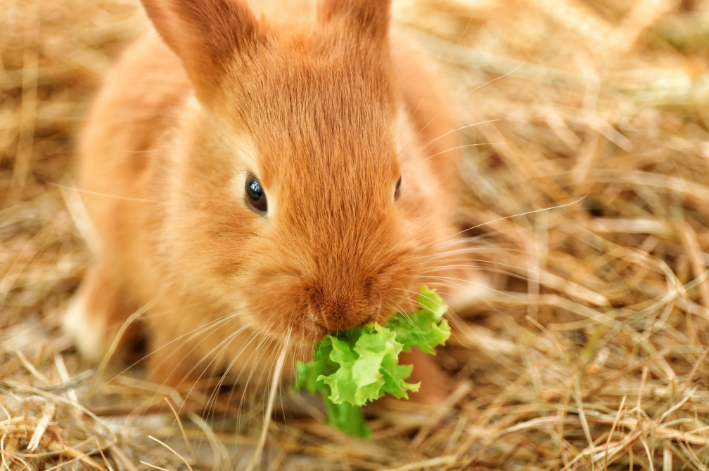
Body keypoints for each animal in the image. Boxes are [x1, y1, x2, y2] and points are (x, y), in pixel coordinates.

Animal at [63, 0, 484, 406]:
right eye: (254, 191)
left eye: (399, 184)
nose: (343, 312)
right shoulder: (170, 315)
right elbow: (172, 358)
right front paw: (179, 395)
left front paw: (427, 401)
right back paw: (94, 327)